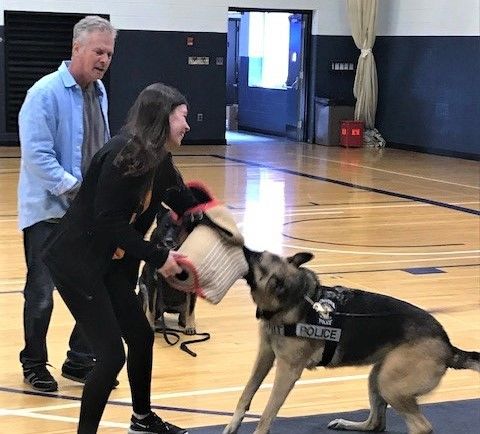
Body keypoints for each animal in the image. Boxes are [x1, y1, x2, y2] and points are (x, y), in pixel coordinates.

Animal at [225, 248, 480, 434]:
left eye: (257, 257)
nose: (239, 244)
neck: (293, 299)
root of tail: (448, 346)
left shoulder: (287, 371)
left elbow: (268, 412)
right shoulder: (265, 355)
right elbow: (246, 393)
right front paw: (232, 426)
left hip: (390, 384)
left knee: (421, 427)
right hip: (378, 377)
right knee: (377, 424)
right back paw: (349, 424)